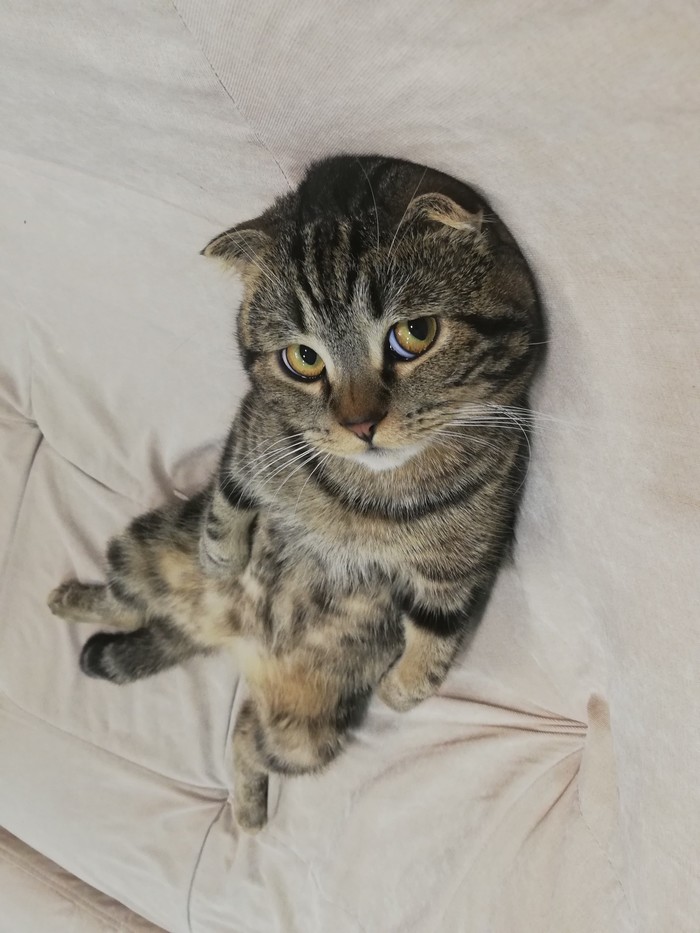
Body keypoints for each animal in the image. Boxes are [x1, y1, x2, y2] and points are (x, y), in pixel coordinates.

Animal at [49, 155, 544, 832]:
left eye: (414, 333)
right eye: (303, 359)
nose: (360, 424)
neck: (365, 496)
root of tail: (223, 635)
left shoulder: (462, 563)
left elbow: (438, 635)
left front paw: (405, 688)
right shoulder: (253, 437)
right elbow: (230, 498)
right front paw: (222, 558)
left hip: (306, 733)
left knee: (243, 737)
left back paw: (247, 811)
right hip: (142, 544)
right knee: (127, 603)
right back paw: (73, 597)